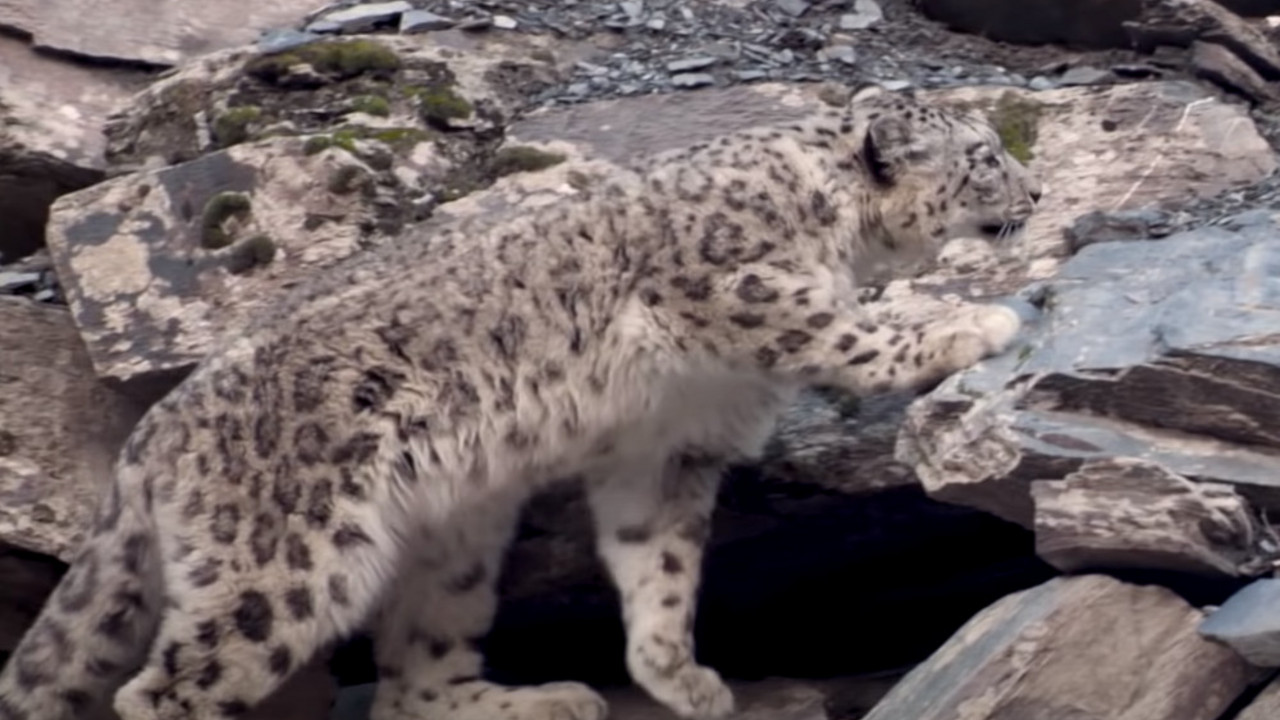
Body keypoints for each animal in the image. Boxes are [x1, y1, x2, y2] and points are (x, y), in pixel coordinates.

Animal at [0, 84, 1041, 720]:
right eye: (985, 155)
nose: (1034, 193)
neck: (835, 226)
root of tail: (152, 435)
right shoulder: (745, 293)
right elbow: (856, 335)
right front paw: (972, 325)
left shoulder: (667, 447)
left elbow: (660, 565)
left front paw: (677, 677)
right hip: (285, 563)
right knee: (168, 690)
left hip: (453, 543)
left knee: (413, 678)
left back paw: (539, 697)